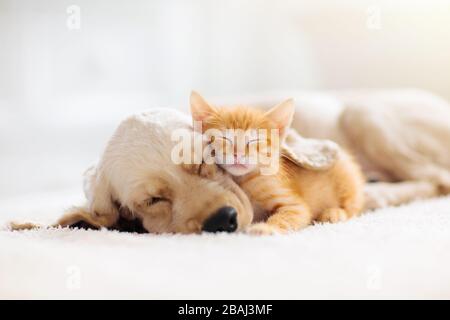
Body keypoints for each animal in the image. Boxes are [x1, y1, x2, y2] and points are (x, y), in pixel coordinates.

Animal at [191, 91, 366, 234]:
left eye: (254, 140)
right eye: (224, 138)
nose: (238, 154)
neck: (242, 180)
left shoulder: (295, 206)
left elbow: (289, 215)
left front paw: (266, 228)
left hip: (346, 177)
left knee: (354, 206)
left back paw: (335, 213)